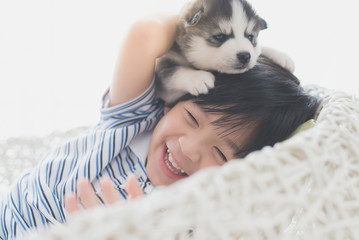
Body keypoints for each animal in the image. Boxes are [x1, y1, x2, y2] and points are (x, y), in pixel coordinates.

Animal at [156, 0, 294, 102]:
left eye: (250, 37)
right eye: (220, 36)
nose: (245, 56)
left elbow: (259, 49)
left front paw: (281, 55)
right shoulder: (165, 86)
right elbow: (173, 72)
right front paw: (197, 77)